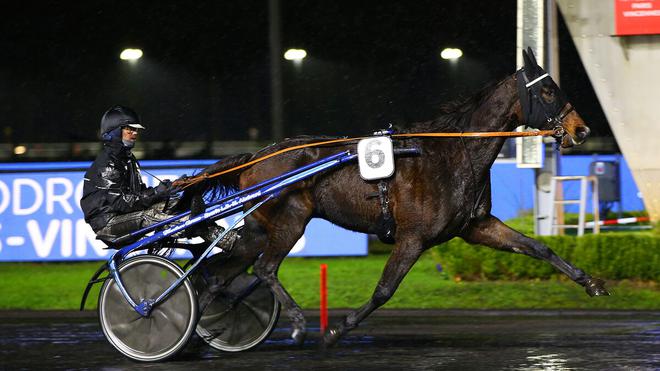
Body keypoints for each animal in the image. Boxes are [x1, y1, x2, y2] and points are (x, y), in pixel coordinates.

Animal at [179, 49, 608, 348]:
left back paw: (210, 323)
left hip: (257, 230)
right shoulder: (413, 237)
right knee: (264, 269)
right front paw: (336, 330)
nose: (582, 129)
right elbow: (384, 290)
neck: (454, 155)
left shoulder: (476, 226)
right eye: (549, 90)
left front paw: (591, 282)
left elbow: (538, 248)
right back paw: (298, 323)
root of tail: (257, 155)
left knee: (219, 276)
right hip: (290, 221)